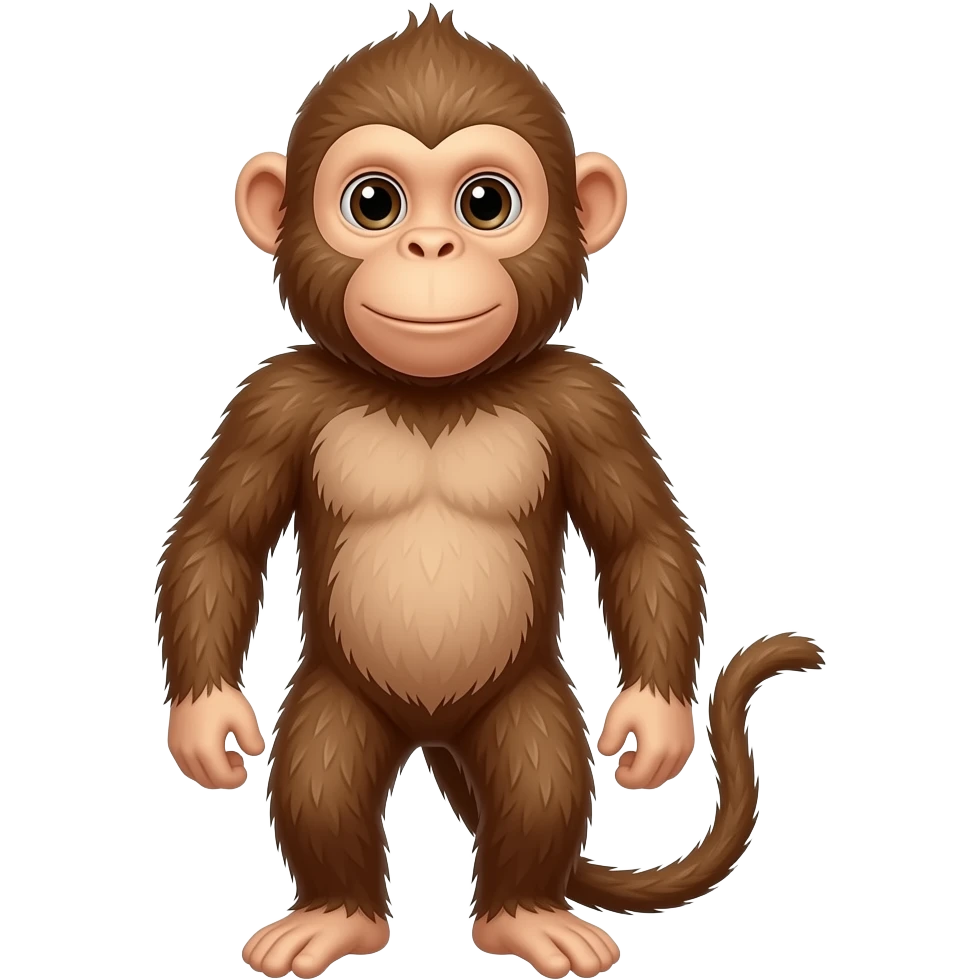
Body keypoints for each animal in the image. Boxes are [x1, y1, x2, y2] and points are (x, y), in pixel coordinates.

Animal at [157, 8, 826, 979]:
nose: (431, 247)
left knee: (538, 771)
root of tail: (433, 732)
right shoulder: (271, 399)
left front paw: (655, 723)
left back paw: (524, 914)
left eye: (485, 204)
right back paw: (336, 914)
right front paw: (206, 722)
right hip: (337, 692)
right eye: (374, 203)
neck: (434, 393)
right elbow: (221, 538)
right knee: (321, 770)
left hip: (524, 694)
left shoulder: (589, 397)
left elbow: (641, 538)